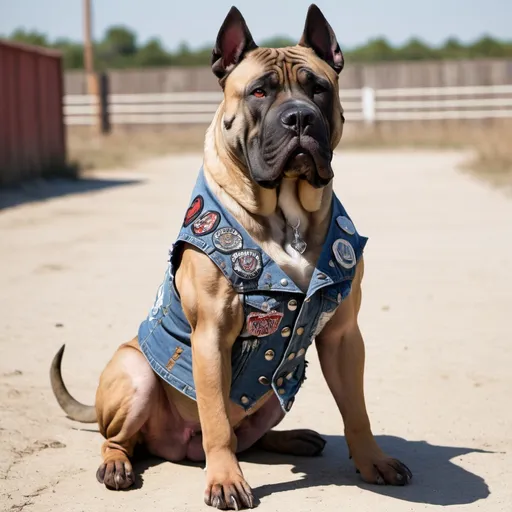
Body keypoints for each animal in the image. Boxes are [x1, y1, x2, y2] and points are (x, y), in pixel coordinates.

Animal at [50, 5, 412, 512]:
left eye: (318, 88)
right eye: (259, 91)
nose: (299, 118)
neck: (285, 211)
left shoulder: (343, 335)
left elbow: (356, 410)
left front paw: (373, 461)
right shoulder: (212, 336)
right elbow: (217, 422)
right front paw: (224, 481)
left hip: (281, 389)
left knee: (251, 435)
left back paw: (295, 438)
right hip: (134, 374)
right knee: (121, 438)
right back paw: (119, 465)